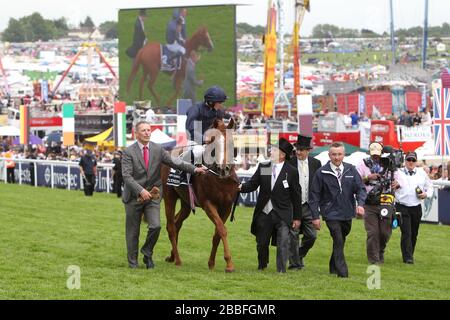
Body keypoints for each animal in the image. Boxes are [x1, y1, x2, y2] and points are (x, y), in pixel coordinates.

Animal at [161, 117, 241, 272]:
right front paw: (229, 264)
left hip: (186, 202)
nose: (224, 169)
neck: (219, 179)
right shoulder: (208, 204)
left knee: (177, 222)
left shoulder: (226, 207)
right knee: (171, 226)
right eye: (214, 143)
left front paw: (211, 263)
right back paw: (177, 260)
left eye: (231, 143)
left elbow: (217, 233)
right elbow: (222, 229)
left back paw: (172, 256)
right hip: (169, 196)